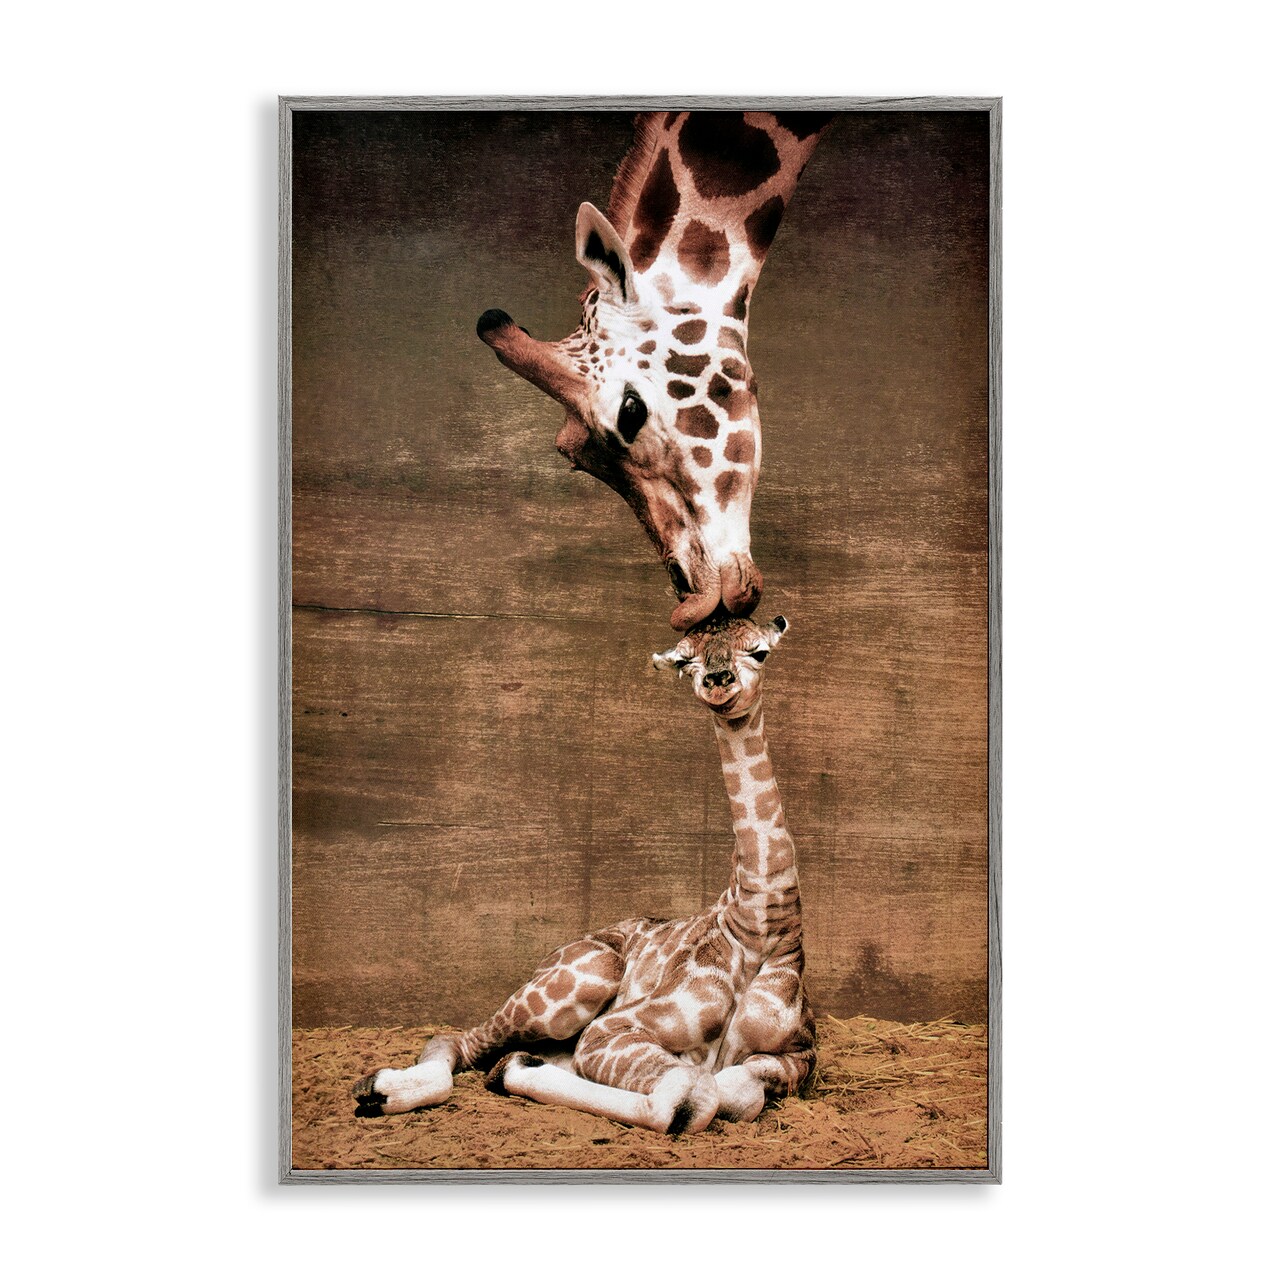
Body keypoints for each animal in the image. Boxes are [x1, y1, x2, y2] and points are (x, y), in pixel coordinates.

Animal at [352, 611, 814, 1134]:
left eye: (760, 651)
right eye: (684, 662)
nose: (719, 681)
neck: (760, 923)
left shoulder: (801, 1055)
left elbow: (739, 1091)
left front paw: (515, 1070)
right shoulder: (611, 1029)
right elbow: (693, 1095)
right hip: (574, 986)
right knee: (456, 1039)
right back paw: (379, 1089)